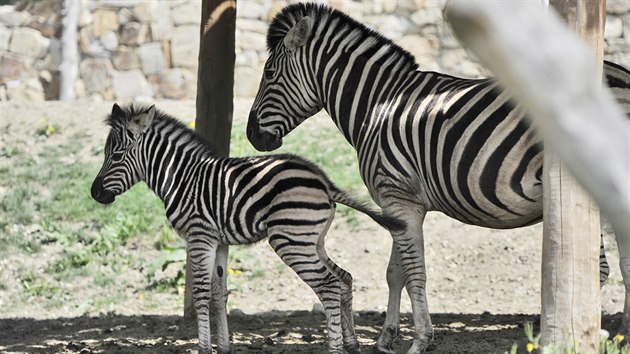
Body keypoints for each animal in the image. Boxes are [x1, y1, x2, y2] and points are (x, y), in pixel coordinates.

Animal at [89, 103, 404, 354]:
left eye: (115, 156)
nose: (94, 193)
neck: (181, 178)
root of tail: (323, 180)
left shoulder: (199, 236)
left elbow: (201, 293)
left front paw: (204, 348)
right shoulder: (220, 242)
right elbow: (220, 294)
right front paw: (224, 346)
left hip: (290, 241)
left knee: (329, 285)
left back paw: (335, 348)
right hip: (313, 241)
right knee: (344, 278)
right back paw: (351, 344)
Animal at [248, 3, 630, 354]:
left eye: (269, 72)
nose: (252, 136)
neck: (378, 104)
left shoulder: (399, 198)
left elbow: (414, 272)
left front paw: (420, 341)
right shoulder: (398, 205)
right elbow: (395, 272)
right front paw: (386, 339)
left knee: (598, 268)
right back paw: (622, 333)